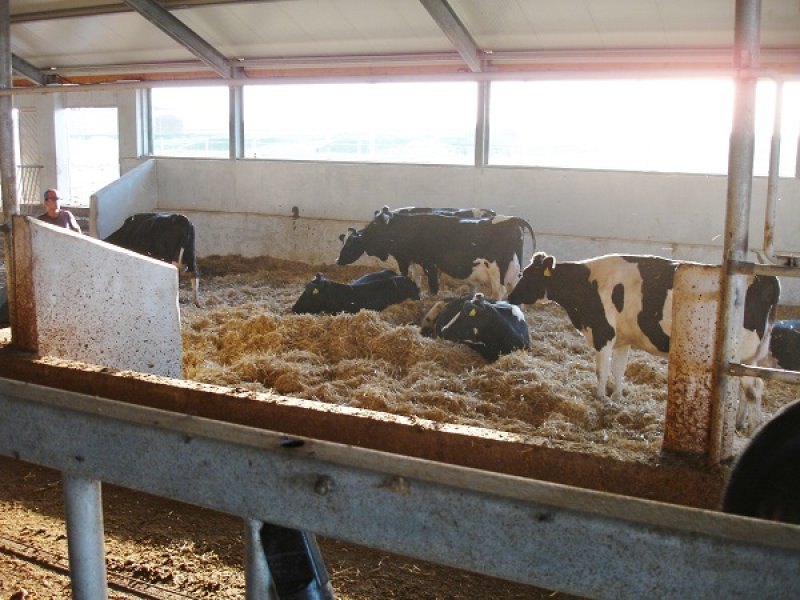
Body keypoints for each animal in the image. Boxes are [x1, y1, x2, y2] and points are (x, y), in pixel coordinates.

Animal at [337, 206, 536, 298]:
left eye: (349, 245)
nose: (338, 261)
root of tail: (510, 220)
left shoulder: (422, 262)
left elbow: (427, 283)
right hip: (514, 272)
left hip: (498, 273)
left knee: (499, 293)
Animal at [507, 252, 780, 433]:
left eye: (528, 276)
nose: (510, 297)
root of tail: (766, 278)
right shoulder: (622, 339)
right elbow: (618, 370)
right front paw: (617, 398)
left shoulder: (603, 333)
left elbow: (601, 371)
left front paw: (600, 399)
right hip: (751, 357)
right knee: (750, 387)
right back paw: (739, 423)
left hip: (741, 353)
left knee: (754, 389)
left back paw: (753, 427)